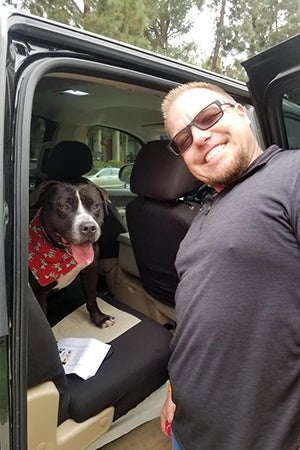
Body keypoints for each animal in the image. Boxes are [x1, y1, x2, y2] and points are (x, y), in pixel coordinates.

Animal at [28, 181, 115, 328]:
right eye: (64, 206)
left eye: (96, 206)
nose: (89, 228)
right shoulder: (38, 293)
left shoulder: (90, 271)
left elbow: (92, 297)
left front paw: (99, 318)